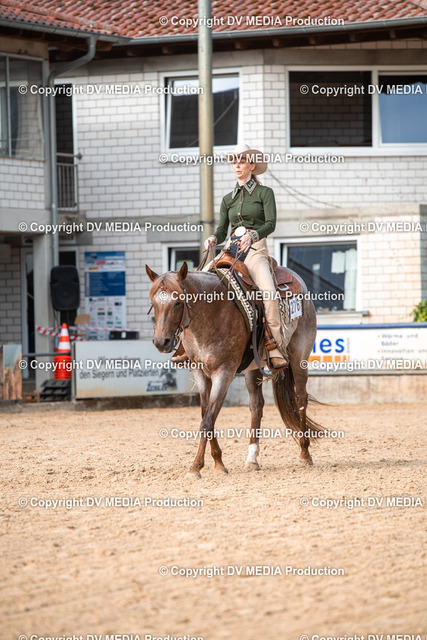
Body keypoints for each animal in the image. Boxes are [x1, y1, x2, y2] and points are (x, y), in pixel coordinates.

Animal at [145, 261, 324, 478]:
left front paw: (196, 467)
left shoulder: (224, 372)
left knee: (301, 399)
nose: (161, 342)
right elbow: (207, 415)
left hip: (299, 358)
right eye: (154, 302)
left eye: (178, 302)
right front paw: (218, 463)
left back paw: (305, 453)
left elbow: (207, 420)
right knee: (256, 405)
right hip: (253, 368)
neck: (211, 312)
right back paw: (252, 458)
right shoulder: (200, 372)